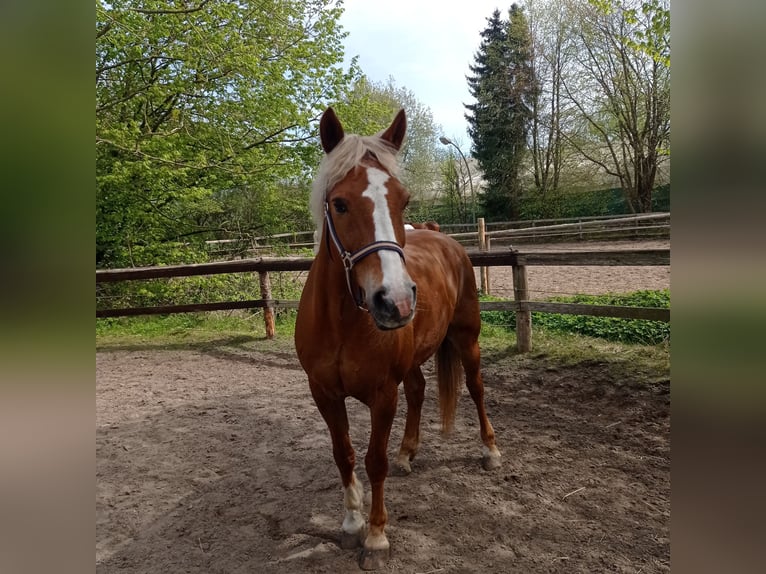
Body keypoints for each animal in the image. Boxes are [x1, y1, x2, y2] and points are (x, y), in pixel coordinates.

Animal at [295, 108, 501, 570]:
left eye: (402, 200)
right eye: (340, 203)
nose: (396, 300)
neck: (342, 322)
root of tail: (443, 237)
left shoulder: (382, 394)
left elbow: (374, 461)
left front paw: (375, 538)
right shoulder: (323, 393)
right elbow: (344, 453)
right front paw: (351, 523)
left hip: (468, 341)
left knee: (476, 388)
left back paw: (490, 451)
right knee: (420, 390)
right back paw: (408, 452)